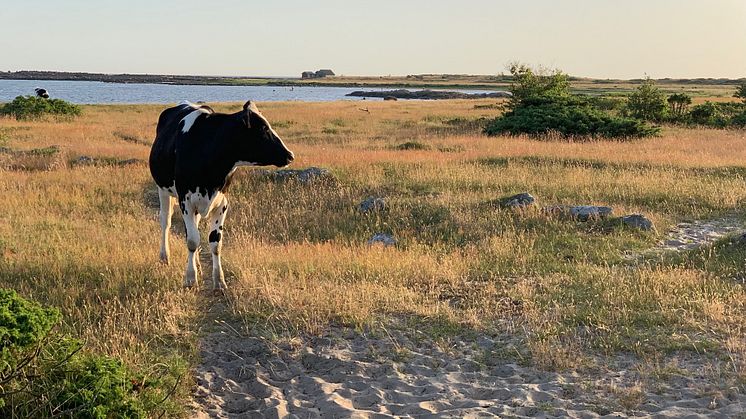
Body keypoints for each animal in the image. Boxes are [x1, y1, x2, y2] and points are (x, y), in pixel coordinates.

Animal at [148, 102, 294, 292]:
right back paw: (165, 257)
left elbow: (215, 242)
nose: (290, 155)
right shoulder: (185, 201)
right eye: (263, 128)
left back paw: (198, 265)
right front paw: (190, 279)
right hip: (163, 190)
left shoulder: (222, 203)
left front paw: (219, 281)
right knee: (166, 222)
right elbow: (192, 241)